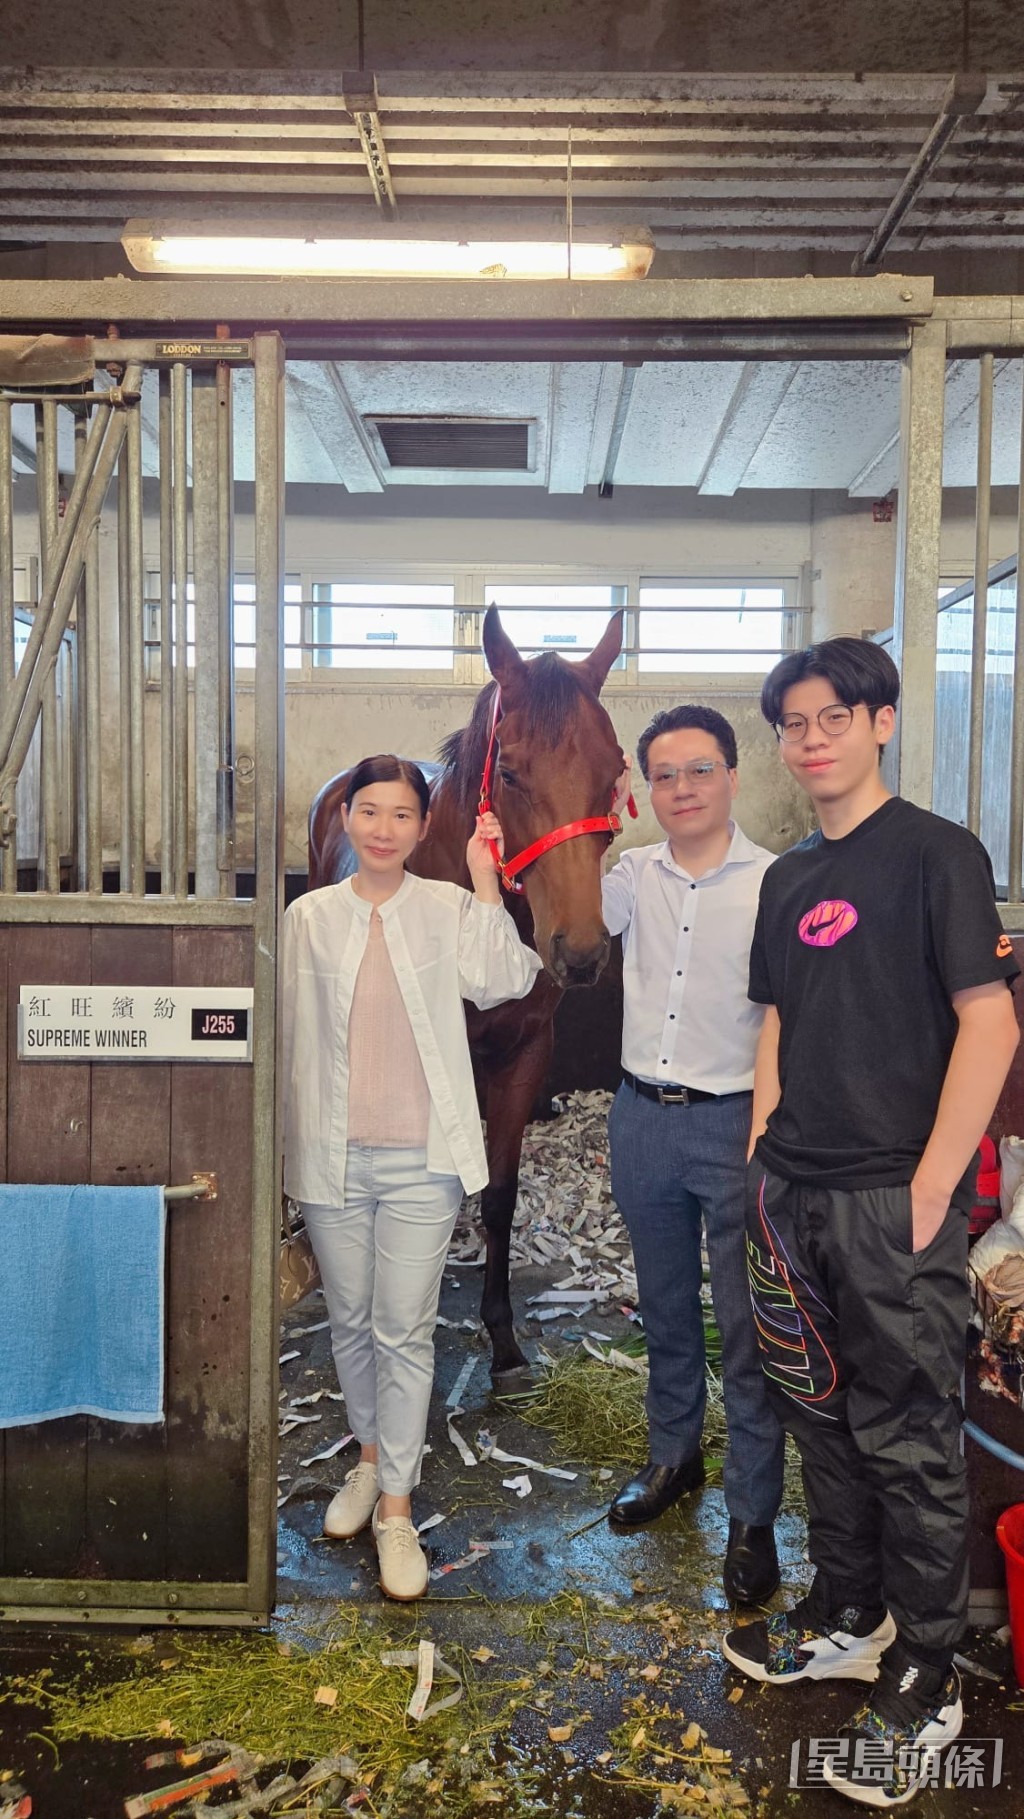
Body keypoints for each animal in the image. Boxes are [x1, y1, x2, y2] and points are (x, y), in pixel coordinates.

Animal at [307, 605, 629, 1384]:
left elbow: (501, 1192)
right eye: (509, 770)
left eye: (612, 772)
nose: (580, 952)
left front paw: (504, 1338)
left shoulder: (526, 1050)